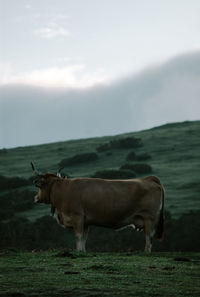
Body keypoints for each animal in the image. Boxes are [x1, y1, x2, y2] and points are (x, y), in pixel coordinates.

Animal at [30, 161, 164, 251]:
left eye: (40, 185)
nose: (35, 198)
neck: (63, 189)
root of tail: (149, 179)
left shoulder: (77, 217)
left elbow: (78, 236)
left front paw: (78, 251)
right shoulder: (86, 222)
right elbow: (84, 238)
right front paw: (83, 251)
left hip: (149, 219)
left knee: (149, 237)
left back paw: (146, 252)